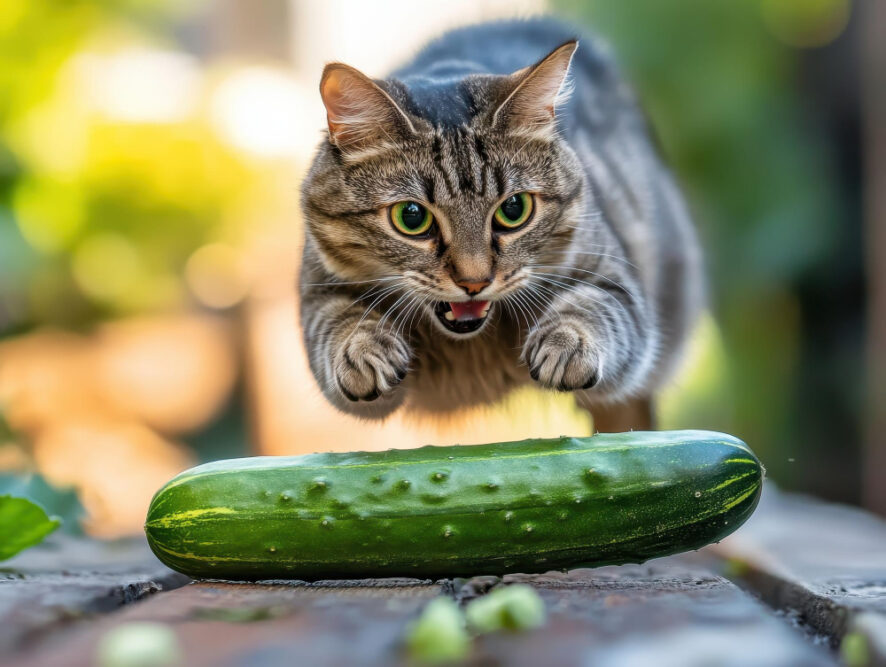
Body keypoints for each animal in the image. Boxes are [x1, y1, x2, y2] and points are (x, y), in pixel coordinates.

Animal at [302, 18, 704, 434]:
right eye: (412, 217)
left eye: (514, 209)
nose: (474, 282)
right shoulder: (317, 292)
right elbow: (340, 321)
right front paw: (363, 350)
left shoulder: (619, 286)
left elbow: (594, 307)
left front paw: (566, 342)